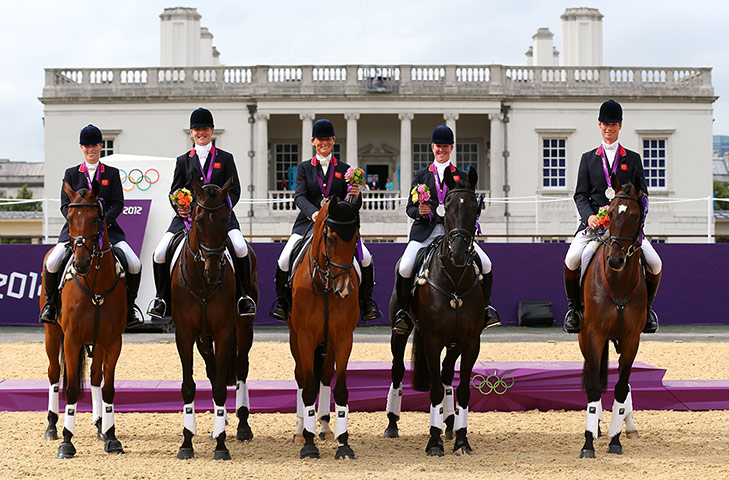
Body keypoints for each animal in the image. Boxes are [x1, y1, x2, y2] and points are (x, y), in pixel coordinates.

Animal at [40, 182, 128, 460]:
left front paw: (112, 438)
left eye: (94, 219)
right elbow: (70, 389)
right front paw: (67, 442)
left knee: (96, 378)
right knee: (54, 373)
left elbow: (108, 387)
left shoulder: (112, 341)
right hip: (52, 334)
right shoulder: (72, 339)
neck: (95, 284)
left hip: (97, 342)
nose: (80, 263)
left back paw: (100, 426)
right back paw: (52, 427)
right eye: (69, 218)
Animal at [169, 180, 258, 462]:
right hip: (203, 339)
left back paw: (242, 426)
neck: (202, 283)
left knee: (241, 368)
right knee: (212, 370)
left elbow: (220, 386)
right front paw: (187, 442)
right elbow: (189, 386)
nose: (213, 272)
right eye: (197, 219)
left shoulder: (225, 333)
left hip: (243, 329)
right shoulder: (185, 335)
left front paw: (221, 446)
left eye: (225, 218)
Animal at [288, 196, 362, 462]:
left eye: (356, 237)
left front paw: (344, 443)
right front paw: (308, 444)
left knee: (326, 375)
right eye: (330, 238)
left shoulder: (343, 338)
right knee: (301, 377)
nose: (345, 289)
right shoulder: (305, 338)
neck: (326, 284)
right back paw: (301, 431)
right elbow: (308, 388)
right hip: (295, 338)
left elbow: (339, 389)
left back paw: (327, 428)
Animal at [386, 167, 484, 456]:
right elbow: (435, 391)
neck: (454, 281)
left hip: (454, 344)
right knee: (397, 371)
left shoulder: (470, 342)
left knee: (447, 375)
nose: (459, 253)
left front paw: (461, 440)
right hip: (399, 333)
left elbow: (461, 390)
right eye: (448, 206)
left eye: (474, 207)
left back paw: (450, 425)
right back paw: (392, 424)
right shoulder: (431, 341)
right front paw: (434, 442)